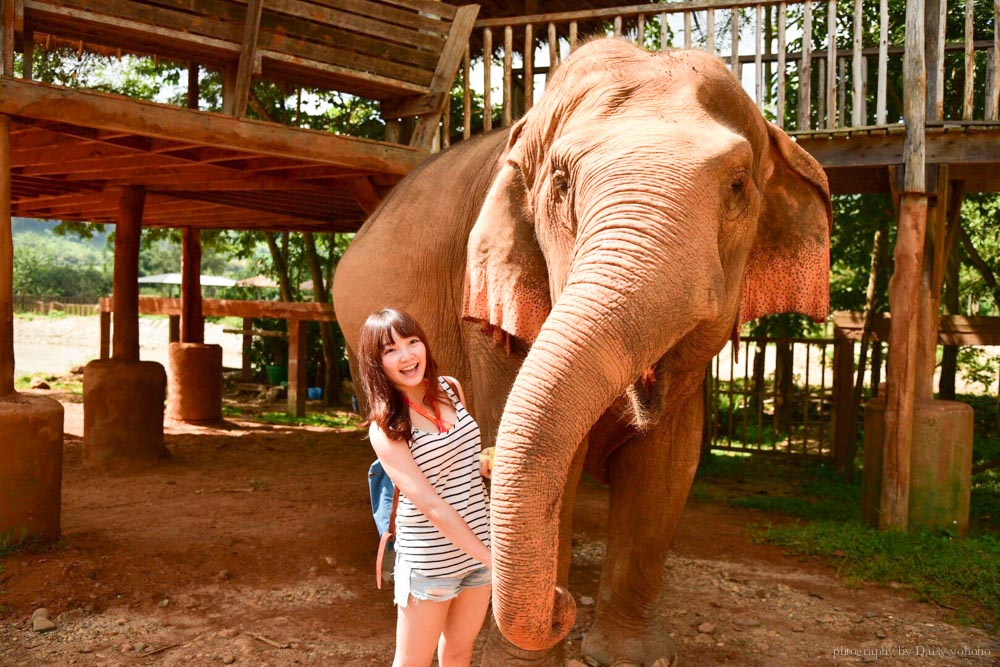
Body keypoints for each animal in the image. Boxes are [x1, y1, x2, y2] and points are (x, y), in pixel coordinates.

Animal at [332, 37, 832, 667]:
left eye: (739, 185)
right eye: (561, 183)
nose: (562, 601)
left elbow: (667, 467)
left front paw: (631, 655)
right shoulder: (491, 317)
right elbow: (558, 470)